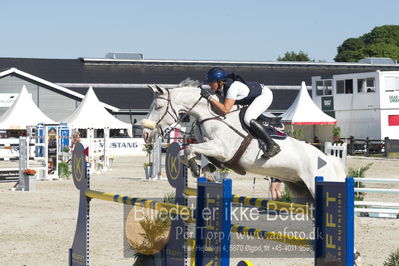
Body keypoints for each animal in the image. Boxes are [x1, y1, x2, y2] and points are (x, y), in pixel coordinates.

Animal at [143, 81, 346, 202]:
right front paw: (206, 170)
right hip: (302, 192)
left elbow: (189, 149)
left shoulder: (221, 149)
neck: (213, 115)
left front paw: (197, 169)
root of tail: (330, 160)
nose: (145, 134)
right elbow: (185, 152)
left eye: (159, 107)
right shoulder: (211, 148)